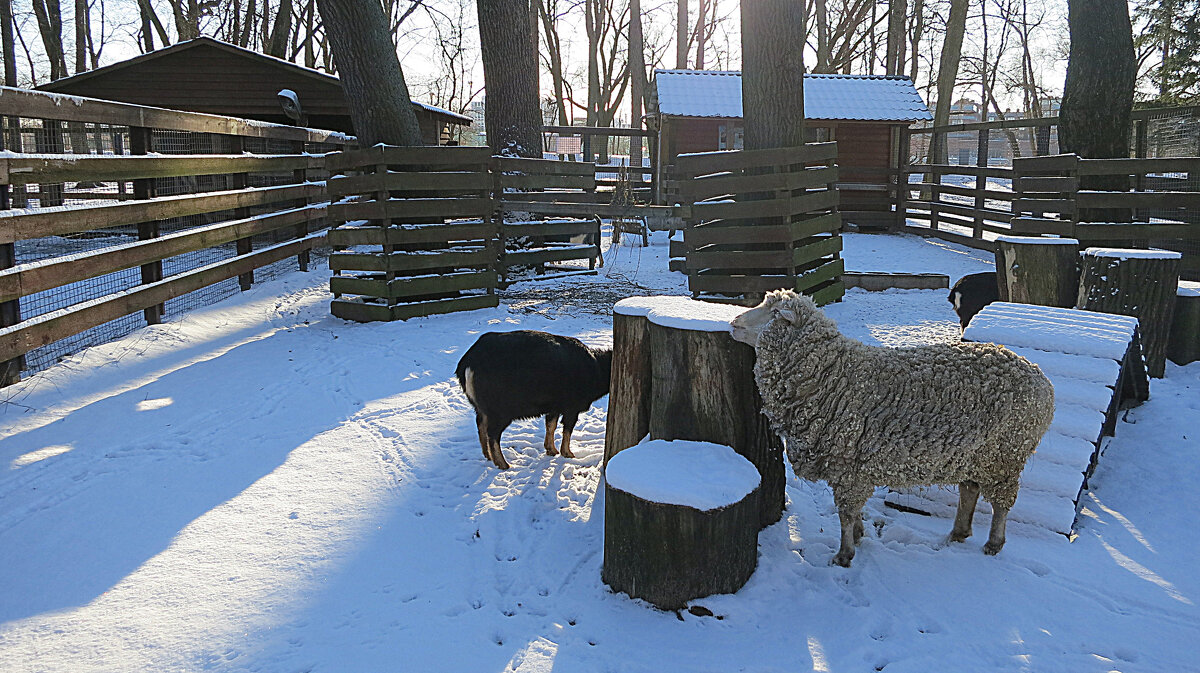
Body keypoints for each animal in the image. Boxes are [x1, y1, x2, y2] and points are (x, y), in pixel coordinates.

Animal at [456, 328, 614, 467]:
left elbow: (551, 425)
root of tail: (469, 364)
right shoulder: (571, 406)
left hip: (481, 406)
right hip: (500, 409)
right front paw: (567, 453)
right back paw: (503, 464)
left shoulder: (555, 406)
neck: (596, 369)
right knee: (492, 433)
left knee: (481, 424)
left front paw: (551, 449)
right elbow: (567, 428)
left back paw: (488, 456)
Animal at [724, 290, 1056, 566]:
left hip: (1006, 455)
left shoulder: (848, 466)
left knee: (1001, 503)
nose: (733, 322)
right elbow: (853, 512)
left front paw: (844, 554)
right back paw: (958, 533)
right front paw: (859, 536)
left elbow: (845, 513)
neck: (832, 375)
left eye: (775, 312)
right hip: (976, 453)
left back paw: (993, 543)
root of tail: (1041, 379)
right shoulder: (851, 469)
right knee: (970, 490)